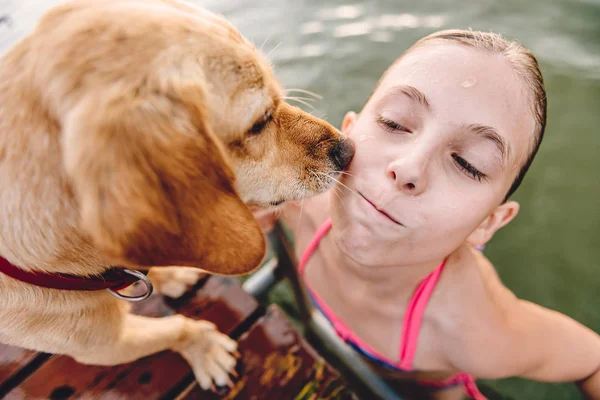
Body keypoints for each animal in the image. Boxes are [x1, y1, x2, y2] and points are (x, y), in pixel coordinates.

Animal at [0, 0, 356, 390]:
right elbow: (173, 329)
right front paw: (205, 347)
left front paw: (171, 276)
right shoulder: (103, 344)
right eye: (259, 122)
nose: (349, 149)